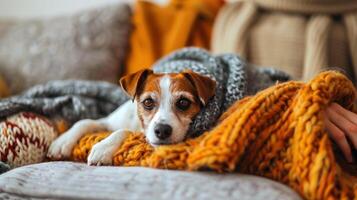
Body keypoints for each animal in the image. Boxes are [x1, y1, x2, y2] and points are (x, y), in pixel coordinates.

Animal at [46, 69, 216, 166]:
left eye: (183, 102)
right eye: (148, 102)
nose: (162, 130)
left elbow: (124, 131)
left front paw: (103, 147)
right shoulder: (109, 122)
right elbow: (84, 122)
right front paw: (62, 141)